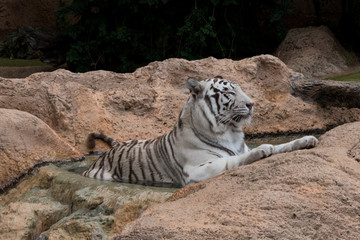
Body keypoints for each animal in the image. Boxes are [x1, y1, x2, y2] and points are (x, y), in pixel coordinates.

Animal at [82, 77, 318, 188]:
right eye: (230, 92)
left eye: (240, 89)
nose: (252, 104)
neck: (230, 132)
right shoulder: (197, 169)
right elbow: (233, 160)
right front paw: (262, 150)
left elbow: (282, 145)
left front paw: (306, 140)